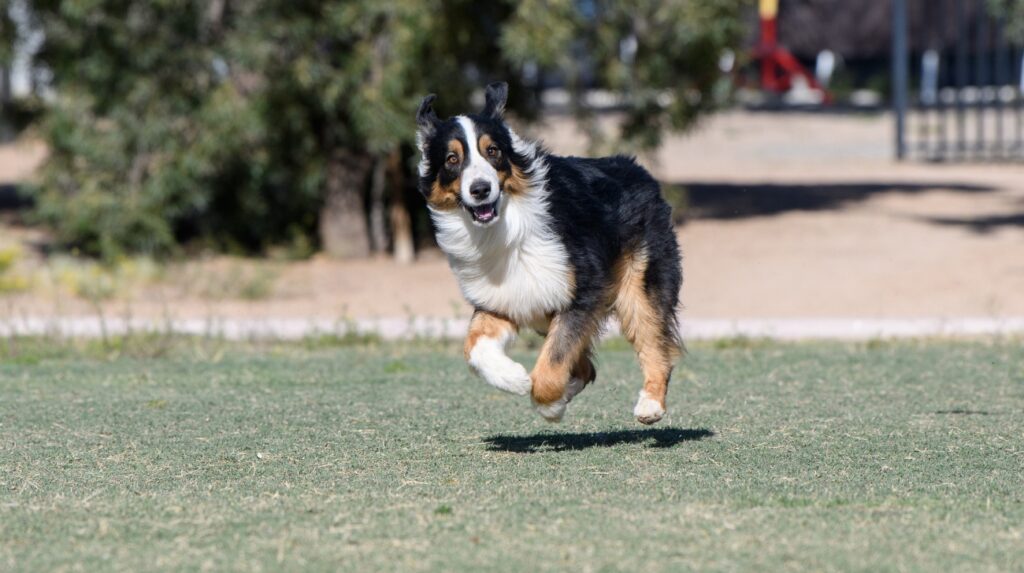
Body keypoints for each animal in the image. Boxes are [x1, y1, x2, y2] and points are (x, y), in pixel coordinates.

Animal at [411, 81, 684, 425]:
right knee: (587, 367)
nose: (481, 189)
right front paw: (515, 379)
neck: (505, 225)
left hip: (640, 284)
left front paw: (548, 403)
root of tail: (637, 169)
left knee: (655, 344)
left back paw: (650, 404)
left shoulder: (584, 290)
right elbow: (473, 347)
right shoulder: (502, 297)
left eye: (493, 151)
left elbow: (554, 359)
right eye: (451, 159)